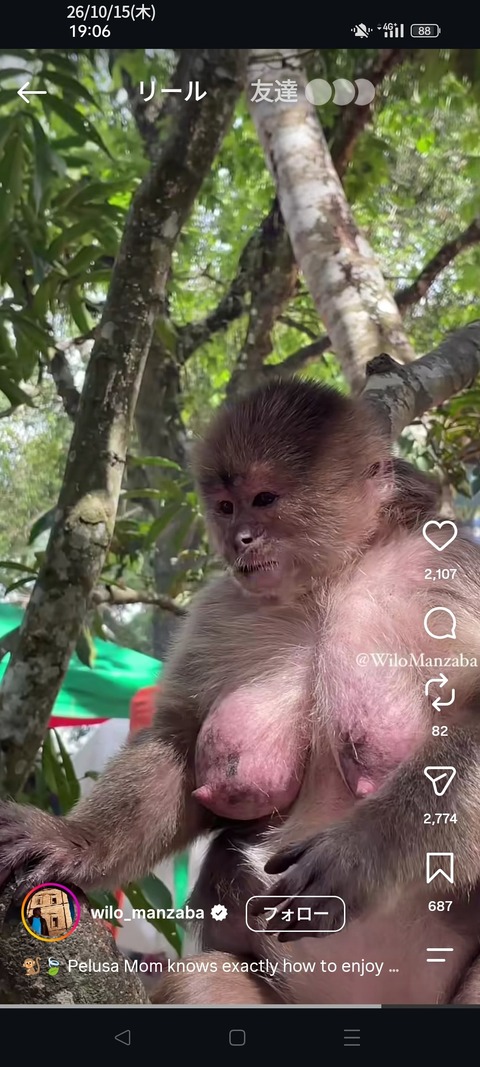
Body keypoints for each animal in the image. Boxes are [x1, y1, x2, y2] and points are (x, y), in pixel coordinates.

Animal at [1, 377, 480, 1007]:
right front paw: (74, 842)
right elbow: (180, 745)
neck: (329, 580)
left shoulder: (447, 572)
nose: (240, 539)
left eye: (265, 499)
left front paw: (359, 855)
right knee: (199, 983)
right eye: (227, 508)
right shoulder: (221, 608)